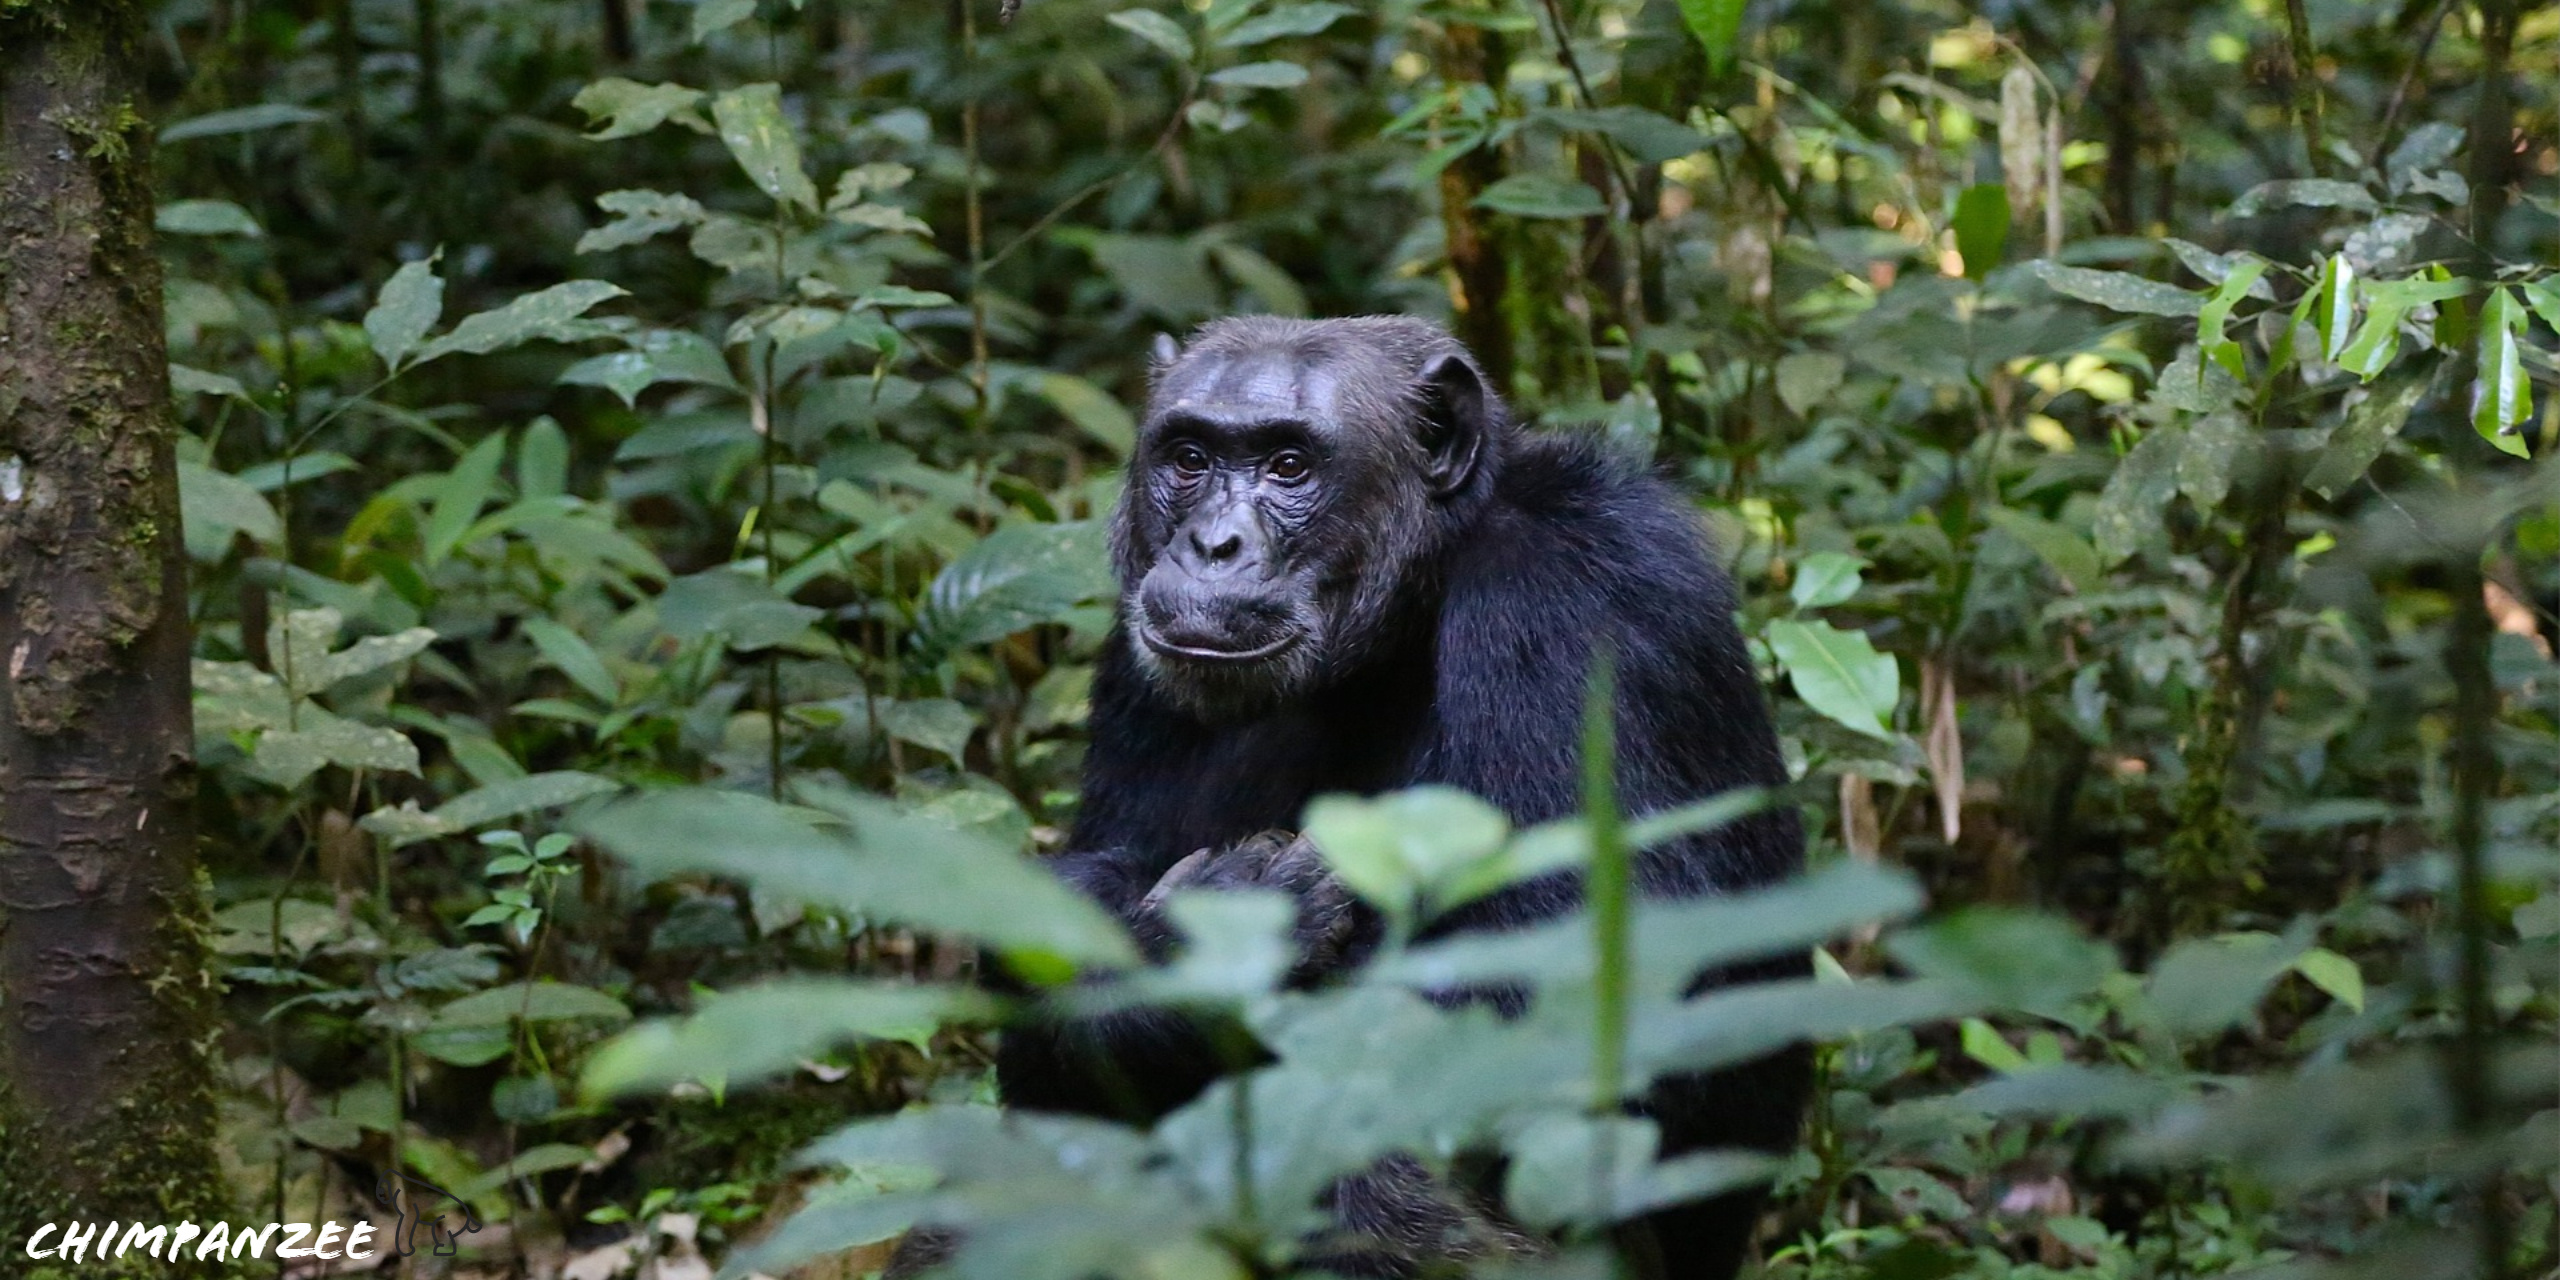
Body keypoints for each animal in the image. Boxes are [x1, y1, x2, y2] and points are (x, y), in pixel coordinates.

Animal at [988, 317, 1812, 1280]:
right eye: (1189, 457)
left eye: (1289, 466)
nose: (1212, 544)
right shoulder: (1134, 658)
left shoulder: (1581, 599)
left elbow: (1598, 986)